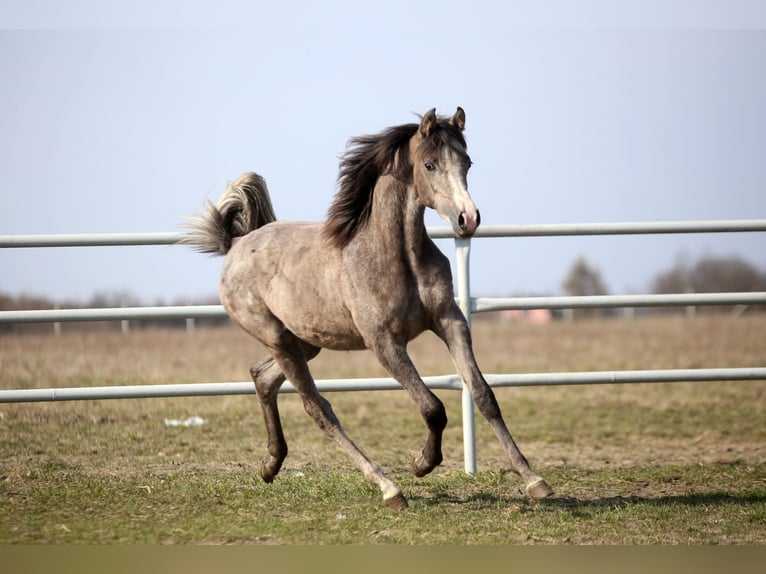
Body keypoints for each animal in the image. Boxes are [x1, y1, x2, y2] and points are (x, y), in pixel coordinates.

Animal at [182, 108, 552, 509]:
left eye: (467, 162)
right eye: (430, 164)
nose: (467, 219)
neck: (398, 256)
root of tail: (236, 244)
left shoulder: (450, 322)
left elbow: (483, 395)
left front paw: (534, 480)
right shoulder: (384, 342)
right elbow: (432, 407)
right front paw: (422, 464)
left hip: (305, 342)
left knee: (262, 377)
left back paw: (271, 464)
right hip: (277, 338)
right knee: (318, 409)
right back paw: (388, 487)